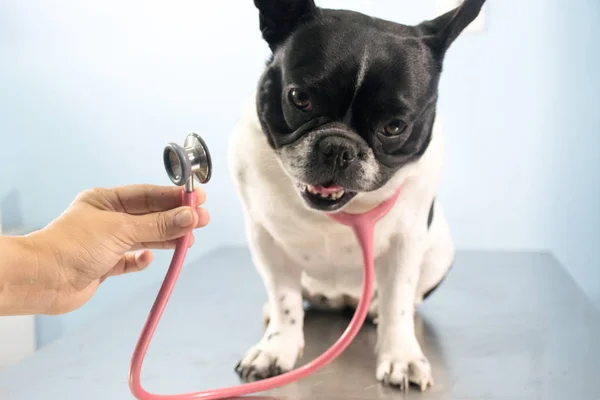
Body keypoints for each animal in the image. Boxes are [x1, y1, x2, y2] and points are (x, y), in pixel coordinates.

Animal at [227, 0, 486, 390]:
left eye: (395, 126)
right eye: (300, 99)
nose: (339, 147)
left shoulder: (407, 241)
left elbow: (399, 300)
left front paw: (401, 356)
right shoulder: (265, 238)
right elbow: (284, 296)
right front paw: (277, 347)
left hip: (441, 250)